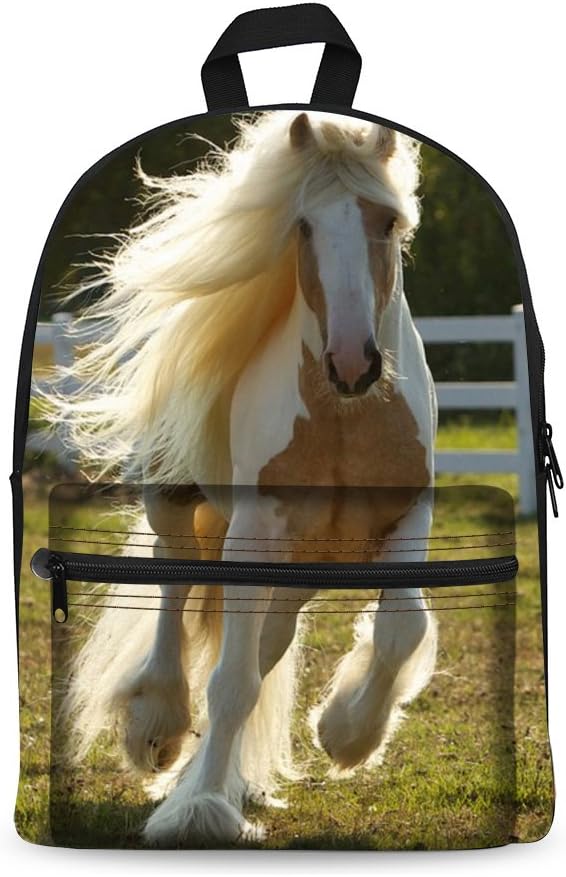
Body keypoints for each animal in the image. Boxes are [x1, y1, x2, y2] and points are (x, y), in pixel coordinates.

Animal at [50, 110, 438, 845]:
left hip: (299, 568)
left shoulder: (409, 518)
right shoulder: (255, 531)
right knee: (173, 580)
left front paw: (346, 734)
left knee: (265, 645)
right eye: (304, 225)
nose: (353, 363)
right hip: (176, 501)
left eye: (387, 222)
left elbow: (402, 626)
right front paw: (199, 807)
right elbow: (229, 681)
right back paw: (158, 727)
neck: (342, 419)